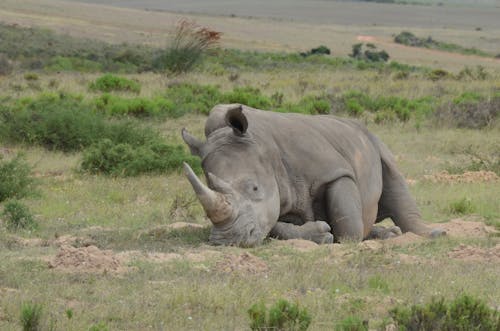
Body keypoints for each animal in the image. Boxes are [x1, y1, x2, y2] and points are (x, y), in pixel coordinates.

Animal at [181, 104, 446, 246]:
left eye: (255, 188)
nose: (228, 240)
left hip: (374, 140)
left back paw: (433, 235)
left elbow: (348, 224)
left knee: (395, 178)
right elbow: (275, 226)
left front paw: (340, 237)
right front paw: (320, 235)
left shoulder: (333, 170)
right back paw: (387, 234)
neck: (262, 145)